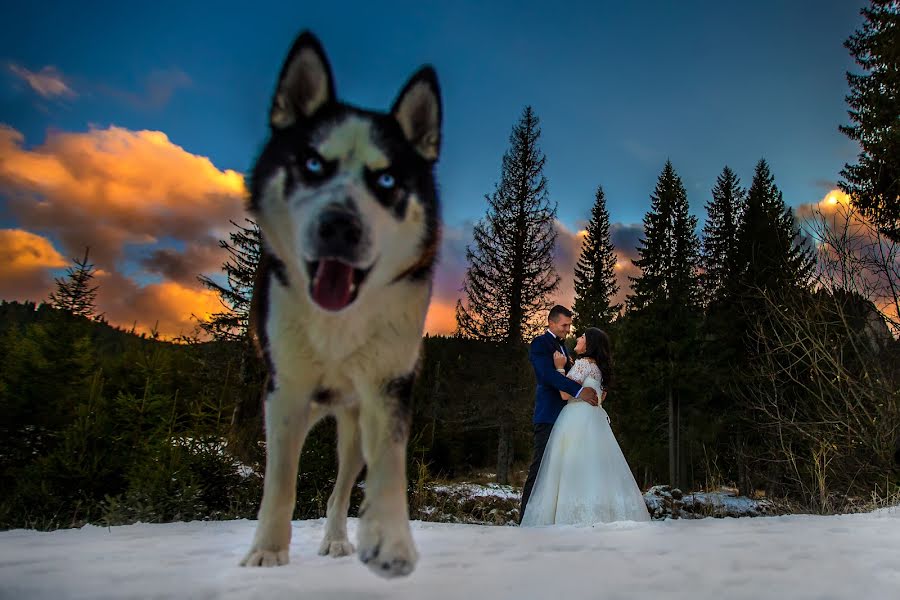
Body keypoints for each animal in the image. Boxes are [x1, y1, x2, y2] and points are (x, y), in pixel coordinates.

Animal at [241, 30, 442, 580]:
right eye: (312, 163)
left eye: (387, 181)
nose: (340, 225)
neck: (338, 325)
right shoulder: (285, 391)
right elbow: (280, 484)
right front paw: (268, 549)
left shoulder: (388, 385)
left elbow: (389, 472)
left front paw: (391, 541)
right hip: (302, 404)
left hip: (352, 428)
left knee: (339, 492)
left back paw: (337, 538)